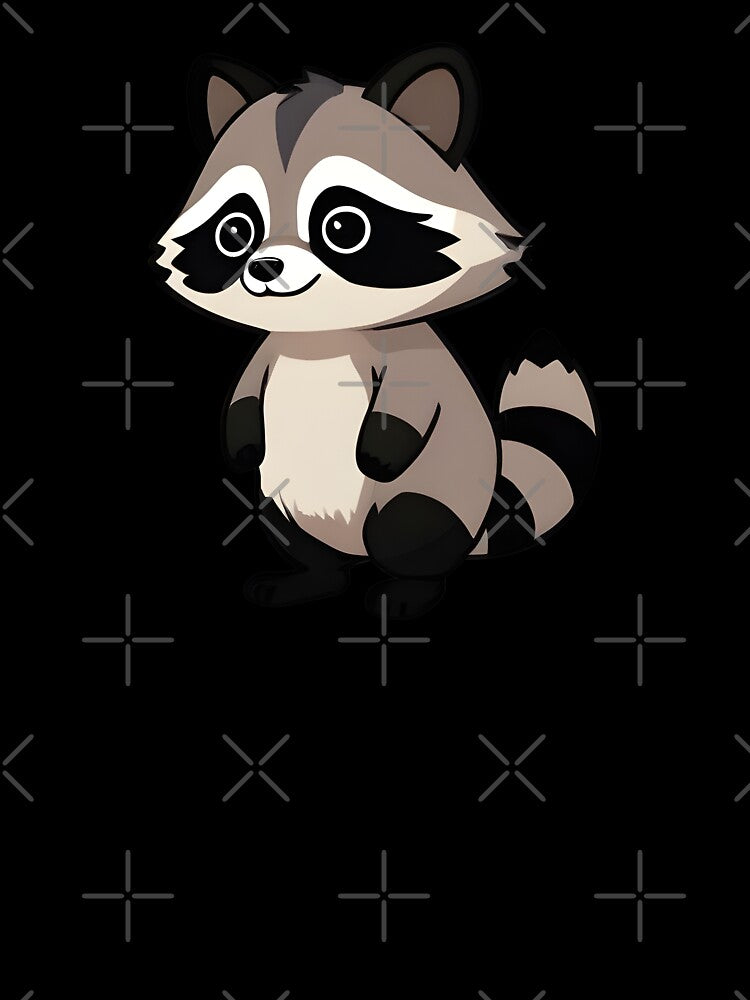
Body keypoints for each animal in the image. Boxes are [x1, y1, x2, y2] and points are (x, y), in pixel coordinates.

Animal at [156, 47, 598, 617]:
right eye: (236, 230)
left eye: (343, 227)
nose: (265, 267)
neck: (322, 334)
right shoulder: (271, 351)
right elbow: (244, 398)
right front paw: (239, 439)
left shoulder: (411, 350)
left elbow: (411, 404)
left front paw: (380, 446)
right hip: (281, 495)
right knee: (297, 534)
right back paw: (312, 578)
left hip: (435, 493)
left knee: (411, 528)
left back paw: (407, 590)